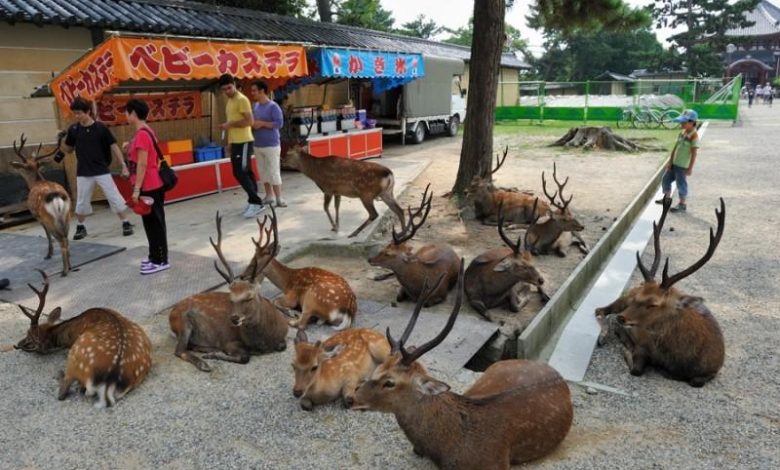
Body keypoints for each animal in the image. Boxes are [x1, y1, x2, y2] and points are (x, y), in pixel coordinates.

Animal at [10, 134, 72, 275]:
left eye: (23, 166)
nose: (14, 166)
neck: (35, 182)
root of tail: (56, 196)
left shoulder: (37, 217)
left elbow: (46, 234)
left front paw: (48, 254)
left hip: (49, 218)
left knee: (61, 239)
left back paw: (65, 270)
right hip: (67, 215)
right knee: (66, 237)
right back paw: (70, 265)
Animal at [14, 270, 151, 408]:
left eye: (29, 336)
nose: (16, 345)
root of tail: (109, 383)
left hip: (75, 356)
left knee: (64, 391)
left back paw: (60, 374)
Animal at [168, 211, 288, 372]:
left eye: (249, 297)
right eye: (231, 298)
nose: (234, 318)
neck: (264, 341)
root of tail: (171, 314)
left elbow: (282, 346)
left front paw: (213, 353)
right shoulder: (229, 341)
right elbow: (244, 357)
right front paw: (214, 355)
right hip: (183, 322)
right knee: (179, 350)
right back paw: (204, 363)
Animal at [352, 261, 573, 469]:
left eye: (390, 382)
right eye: (377, 368)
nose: (352, 399)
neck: (444, 449)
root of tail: (557, 374)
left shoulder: (497, 463)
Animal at [595, 197, 726, 387]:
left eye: (653, 304)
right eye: (638, 298)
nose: (623, 317)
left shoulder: (713, 369)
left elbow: (696, 381)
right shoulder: (643, 344)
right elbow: (636, 369)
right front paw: (625, 346)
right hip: (622, 300)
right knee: (600, 310)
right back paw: (605, 334)